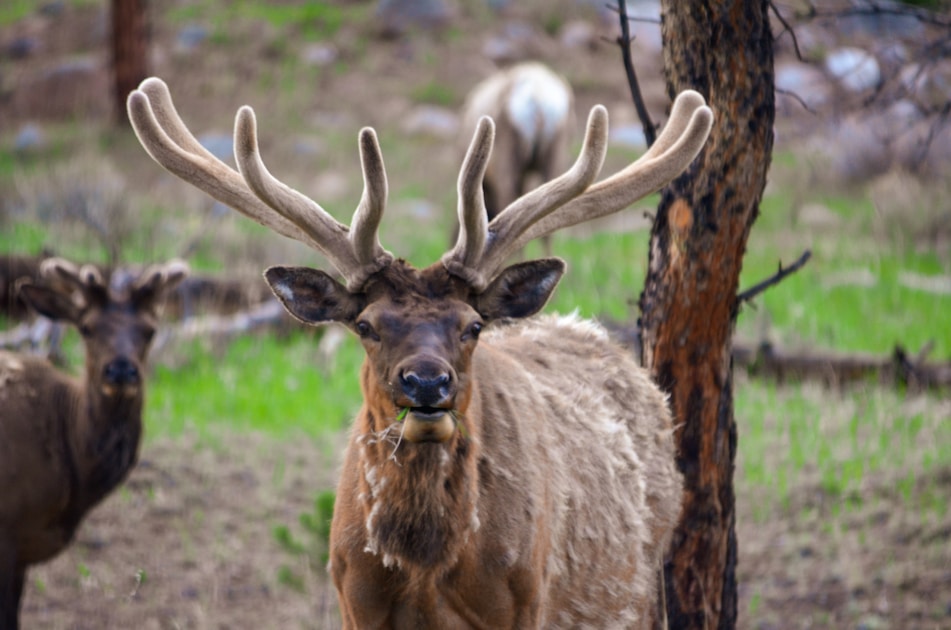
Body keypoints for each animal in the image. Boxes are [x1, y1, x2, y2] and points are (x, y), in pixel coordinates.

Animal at [127, 76, 712, 628]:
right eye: (366, 325)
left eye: (473, 325)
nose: (427, 382)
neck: (423, 566)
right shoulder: (353, 601)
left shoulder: (524, 601)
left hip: (642, 592)